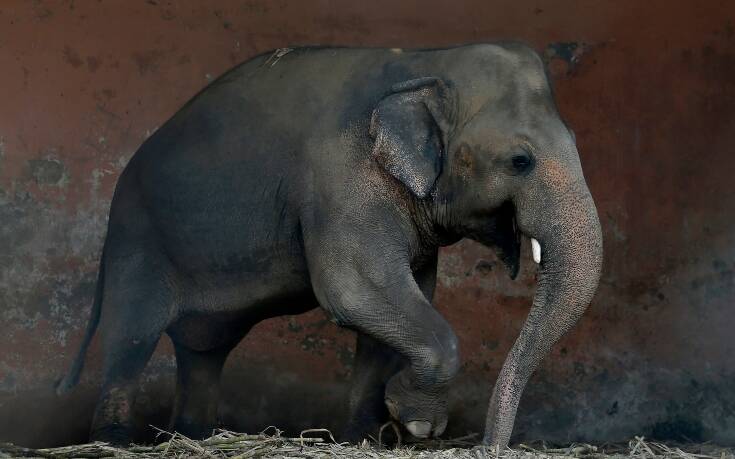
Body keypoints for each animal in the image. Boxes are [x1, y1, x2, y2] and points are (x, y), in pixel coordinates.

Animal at [57, 44, 604, 450]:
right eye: (520, 161)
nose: (489, 446)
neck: (426, 63)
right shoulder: (341, 180)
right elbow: (356, 291)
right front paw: (417, 423)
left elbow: (406, 297)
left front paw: (366, 437)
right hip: (137, 240)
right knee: (132, 337)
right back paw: (115, 441)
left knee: (203, 351)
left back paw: (192, 435)